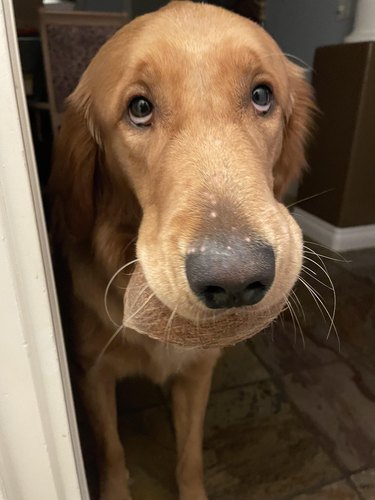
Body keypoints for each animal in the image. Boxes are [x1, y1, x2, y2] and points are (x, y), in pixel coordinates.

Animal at [49, 1, 314, 498]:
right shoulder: (92, 373)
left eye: (262, 96)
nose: (235, 282)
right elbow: (112, 451)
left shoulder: (198, 371)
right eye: (139, 108)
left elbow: (189, 453)